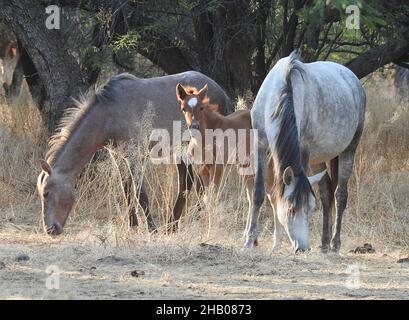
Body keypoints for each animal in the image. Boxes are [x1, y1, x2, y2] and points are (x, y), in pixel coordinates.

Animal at [170, 82, 274, 238]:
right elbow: (207, 198)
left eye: (201, 107)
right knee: (252, 196)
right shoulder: (202, 169)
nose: (194, 127)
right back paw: (247, 232)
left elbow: (213, 197)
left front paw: (211, 230)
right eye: (183, 108)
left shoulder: (218, 166)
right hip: (245, 165)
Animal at [244, 52, 364, 252]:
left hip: (349, 149)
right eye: (291, 209)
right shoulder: (260, 143)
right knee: (326, 192)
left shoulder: (304, 150)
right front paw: (249, 242)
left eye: (310, 209)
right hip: (319, 158)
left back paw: (334, 244)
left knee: (340, 195)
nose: (303, 248)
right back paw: (324, 244)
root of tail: (352, 78)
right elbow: (259, 192)